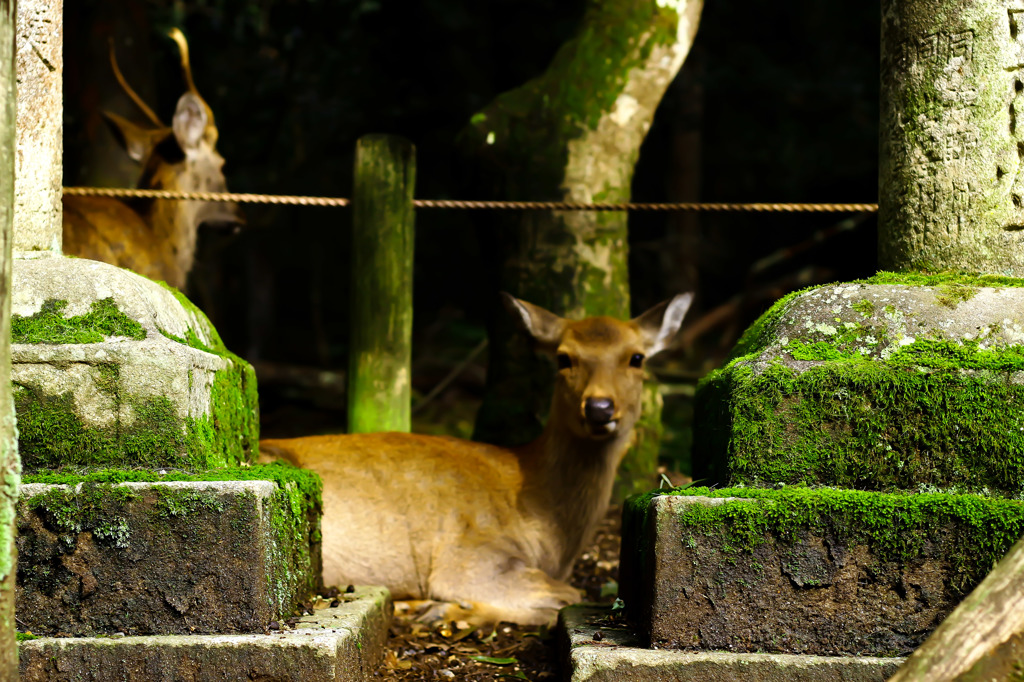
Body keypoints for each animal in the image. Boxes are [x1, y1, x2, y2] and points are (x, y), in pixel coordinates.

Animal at [262, 290, 696, 622]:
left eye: (636, 357)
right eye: (564, 357)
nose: (600, 408)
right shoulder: (473, 554)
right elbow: (567, 596)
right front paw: (443, 612)